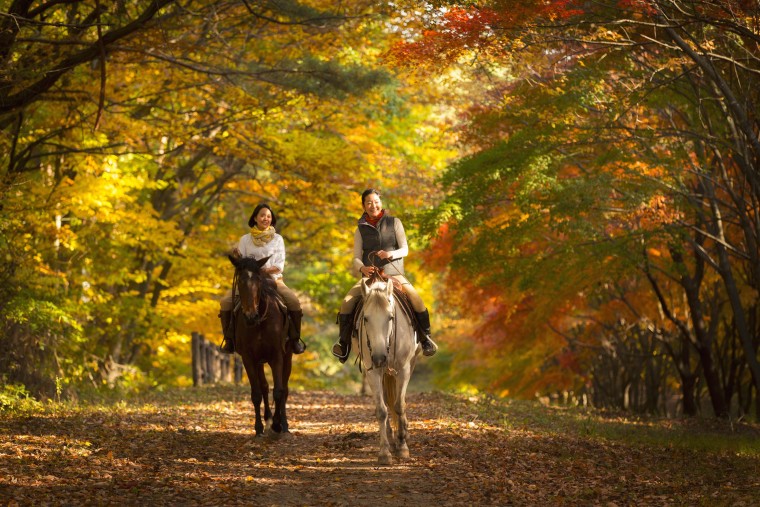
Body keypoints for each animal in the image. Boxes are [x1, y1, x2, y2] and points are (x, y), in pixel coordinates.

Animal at [227, 254, 292, 436]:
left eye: (257, 280)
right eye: (240, 281)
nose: (250, 316)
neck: (260, 321)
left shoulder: (277, 356)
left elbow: (279, 391)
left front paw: (277, 425)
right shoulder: (249, 358)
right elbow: (256, 393)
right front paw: (259, 428)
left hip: (288, 356)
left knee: (285, 389)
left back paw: (284, 424)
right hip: (259, 361)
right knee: (264, 386)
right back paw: (268, 417)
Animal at [352, 276, 418, 466]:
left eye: (390, 317)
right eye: (366, 318)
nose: (380, 357)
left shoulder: (403, 369)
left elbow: (399, 405)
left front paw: (402, 447)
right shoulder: (372, 372)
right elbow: (382, 410)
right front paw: (384, 452)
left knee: (399, 402)